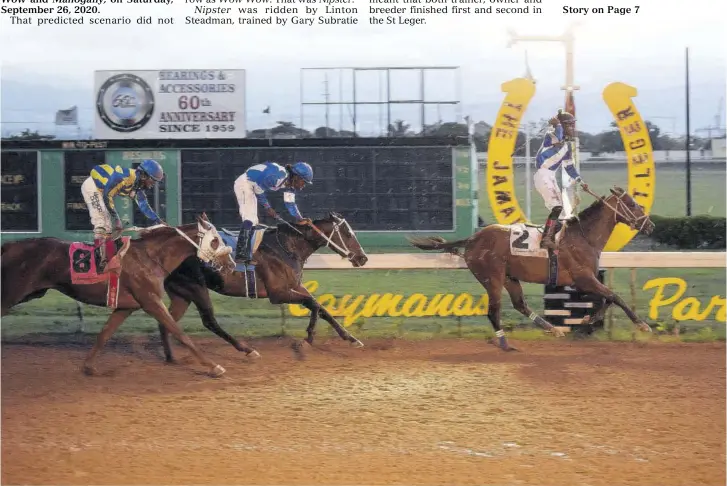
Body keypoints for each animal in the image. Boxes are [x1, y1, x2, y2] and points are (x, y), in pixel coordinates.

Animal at [1, 215, 236, 378]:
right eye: (215, 240)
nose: (232, 264)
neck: (151, 258)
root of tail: (10, 246)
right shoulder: (151, 301)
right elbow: (180, 333)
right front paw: (214, 367)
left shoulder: (126, 306)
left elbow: (105, 333)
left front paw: (89, 367)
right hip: (12, 294)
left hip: (31, 294)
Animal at [156, 211, 366, 362]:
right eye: (348, 234)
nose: (363, 258)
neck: (286, 247)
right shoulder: (277, 293)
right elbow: (313, 304)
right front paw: (308, 339)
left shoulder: (295, 286)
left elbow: (320, 307)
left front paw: (351, 338)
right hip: (195, 287)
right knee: (209, 321)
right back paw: (247, 350)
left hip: (181, 294)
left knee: (166, 321)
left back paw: (170, 357)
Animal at [412, 188, 656, 352]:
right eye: (632, 204)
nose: (650, 225)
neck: (583, 237)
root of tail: (472, 239)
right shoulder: (584, 278)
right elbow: (615, 297)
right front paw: (642, 325)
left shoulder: (584, 281)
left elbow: (607, 298)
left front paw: (587, 322)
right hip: (492, 277)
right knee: (493, 311)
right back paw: (505, 343)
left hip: (510, 277)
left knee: (520, 304)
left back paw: (554, 329)